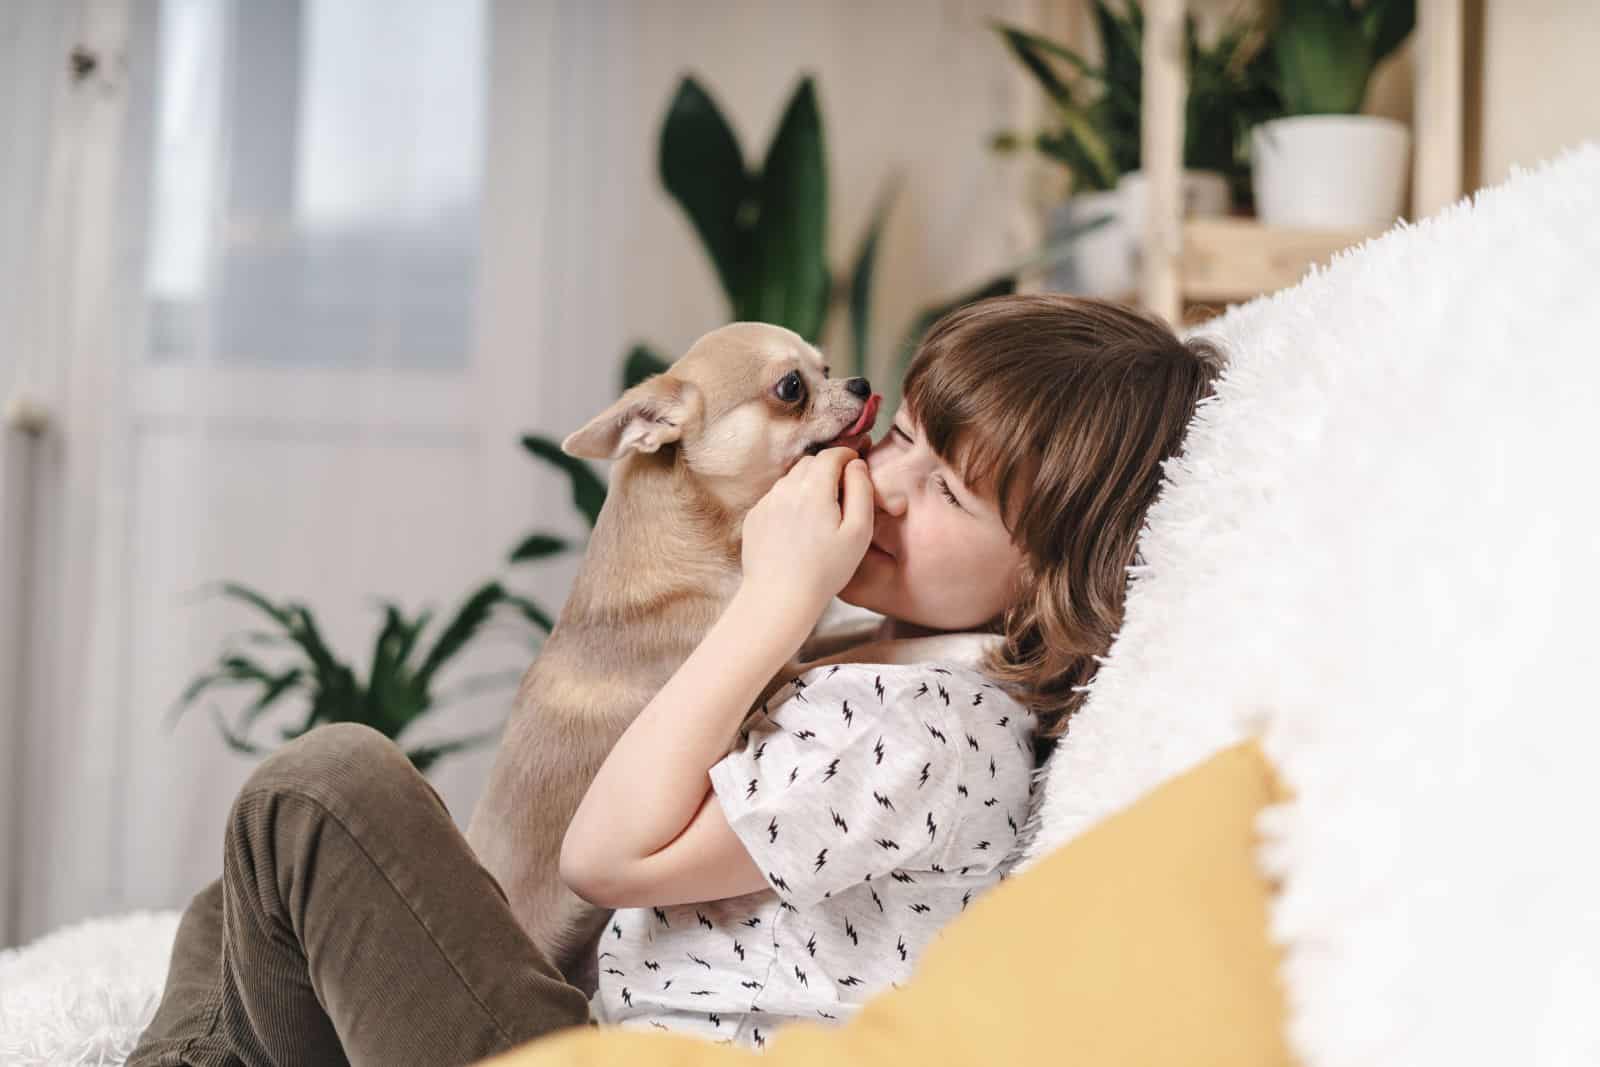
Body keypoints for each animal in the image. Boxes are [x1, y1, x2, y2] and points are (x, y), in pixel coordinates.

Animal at [467, 321, 883, 998]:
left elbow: (858, 635)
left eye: (826, 366)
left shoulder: (800, 644)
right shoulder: (768, 678)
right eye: (791, 388)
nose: (860, 382)